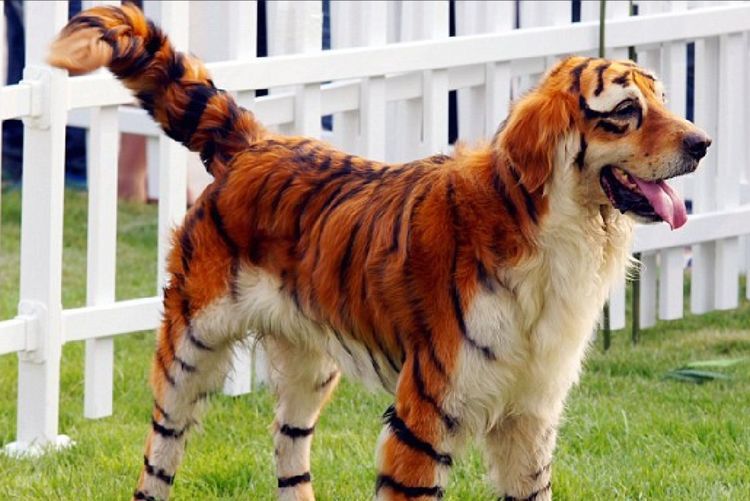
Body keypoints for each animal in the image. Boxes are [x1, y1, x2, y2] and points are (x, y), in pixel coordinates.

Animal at [48, 4, 710, 500]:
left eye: (663, 100)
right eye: (626, 111)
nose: (704, 143)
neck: (563, 235)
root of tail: (254, 143)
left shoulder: (531, 416)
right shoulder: (426, 414)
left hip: (309, 366)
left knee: (287, 448)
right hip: (190, 350)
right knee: (158, 458)